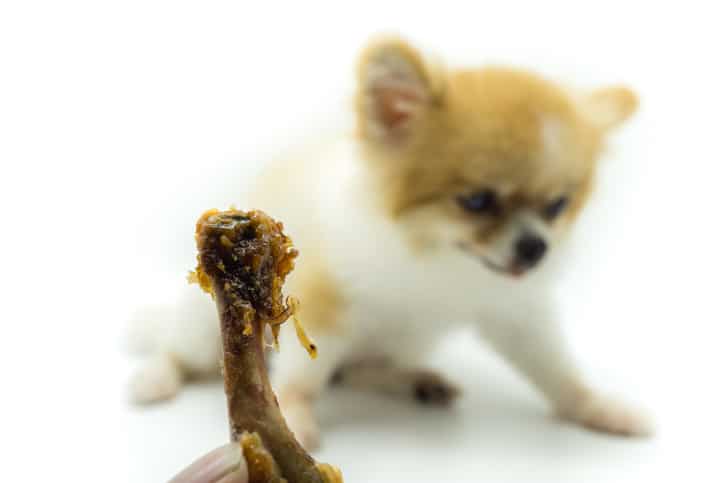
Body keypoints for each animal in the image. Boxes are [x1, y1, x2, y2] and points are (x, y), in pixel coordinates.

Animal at [130, 36, 652, 450]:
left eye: (557, 205)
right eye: (477, 201)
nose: (535, 247)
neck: (435, 259)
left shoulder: (516, 314)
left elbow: (557, 370)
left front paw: (596, 406)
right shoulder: (326, 301)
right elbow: (300, 376)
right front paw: (293, 416)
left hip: (406, 342)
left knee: (360, 369)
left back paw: (414, 381)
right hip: (203, 331)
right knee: (178, 350)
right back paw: (154, 377)